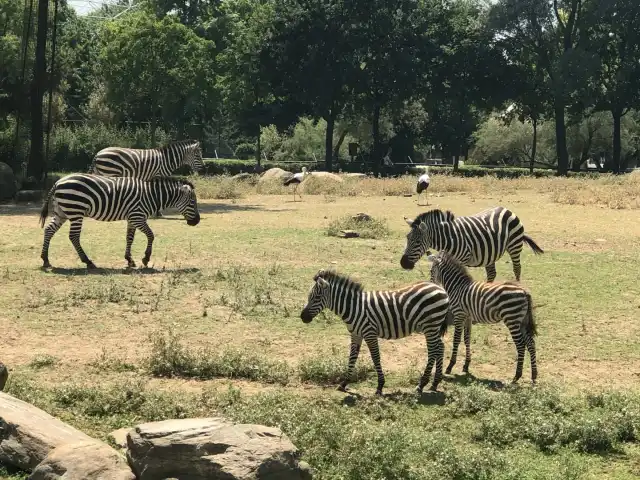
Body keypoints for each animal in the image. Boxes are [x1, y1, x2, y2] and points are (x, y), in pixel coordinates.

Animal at [38, 173, 199, 270]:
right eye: (192, 202)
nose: (196, 221)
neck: (151, 196)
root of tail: (58, 181)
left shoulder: (132, 218)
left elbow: (130, 238)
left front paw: (129, 260)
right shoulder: (138, 217)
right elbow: (151, 235)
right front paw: (146, 259)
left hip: (62, 212)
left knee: (49, 230)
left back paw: (45, 260)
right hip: (76, 211)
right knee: (74, 237)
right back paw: (88, 262)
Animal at [300, 268, 450, 396]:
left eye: (316, 297)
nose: (302, 317)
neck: (353, 308)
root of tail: (440, 288)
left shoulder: (369, 333)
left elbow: (375, 357)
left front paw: (380, 386)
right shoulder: (356, 334)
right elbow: (352, 357)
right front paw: (344, 383)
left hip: (430, 325)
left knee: (433, 350)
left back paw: (421, 384)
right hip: (432, 327)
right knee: (440, 347)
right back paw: (435, 383)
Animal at [402, 205, 544, 282]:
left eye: (417, 242)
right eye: (407, 238)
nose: (403, 263)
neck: (449, 239)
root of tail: (506, 209)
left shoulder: (462, 260)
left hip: (514, 245)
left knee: (517, 268)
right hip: (490, 253)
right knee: (492, 274)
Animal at [428, 251, 536, 382]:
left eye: (431, 271)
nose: (431, 285)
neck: (457, 287)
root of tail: (524, 292)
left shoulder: (459, 315)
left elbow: (456, 340)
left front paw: (450, 366)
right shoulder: (468, 317)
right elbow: (467, 339)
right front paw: (466, 365)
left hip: (512, 320)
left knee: (521, 345)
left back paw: (517, 376)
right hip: (521, 321)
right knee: (531, 343)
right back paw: (534, 375)